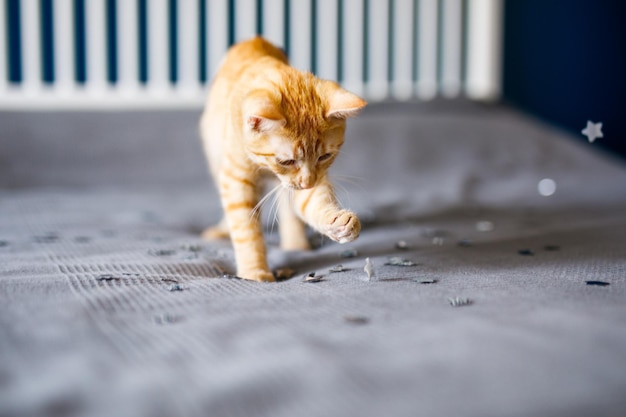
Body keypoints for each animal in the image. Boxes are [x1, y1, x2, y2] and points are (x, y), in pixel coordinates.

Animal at [200, 36, 366, 282]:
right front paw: (254, 273)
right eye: (287, 161)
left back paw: (297, 245)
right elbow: (246, 230)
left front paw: (337, 222)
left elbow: (314, 202)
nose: (307, 182)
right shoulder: (236, 180)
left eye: (324, 156)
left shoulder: (309, 182)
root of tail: (254, 38)